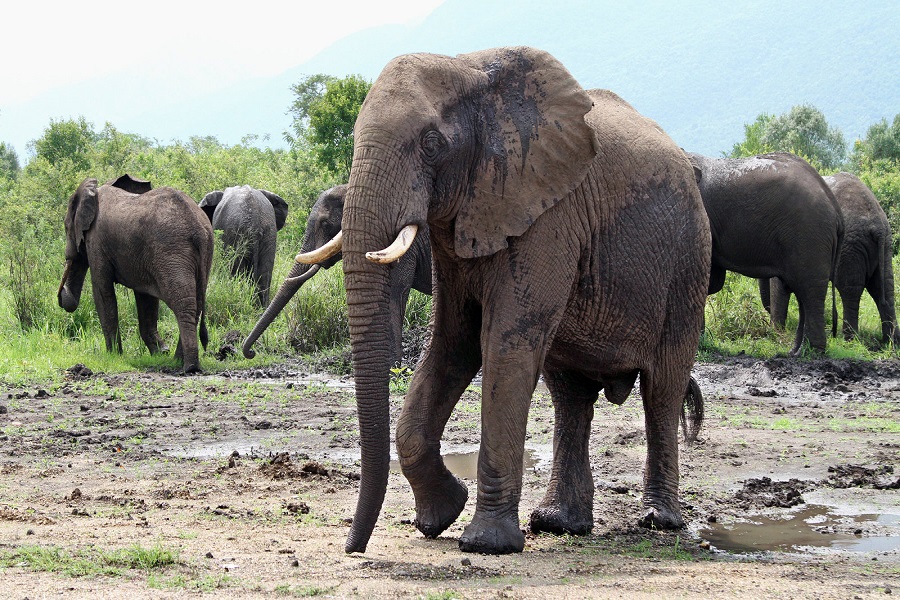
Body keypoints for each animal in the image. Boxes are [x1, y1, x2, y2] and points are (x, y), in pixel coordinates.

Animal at [57, 173, 213, 372]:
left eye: (66, 226)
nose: (63, 299)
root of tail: (198, 228)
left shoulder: (96, 241)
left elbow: (102, 293)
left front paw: (113, 356)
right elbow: (146, 299)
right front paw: (160, 353)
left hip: (171, 251)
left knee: (183, 303)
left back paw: (188, 367)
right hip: (202, 252)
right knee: (197, 303)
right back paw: (178, 361)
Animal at [296, 48, 712, 556]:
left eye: (431, 143)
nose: (353, 548)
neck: (470, 68)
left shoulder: (548, 211)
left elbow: (504, 344)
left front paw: (485, 543)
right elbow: (452, 344)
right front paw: (439, 516)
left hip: (688, 264)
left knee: (662, 389)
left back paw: (659, 520)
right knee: (570, 396)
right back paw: (559, 524)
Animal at [684, 152, 848, 354]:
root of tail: (837, 211)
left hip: (809, 235)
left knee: (810, 291)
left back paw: (811, 352)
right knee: (802, 292)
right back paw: (795, 352)